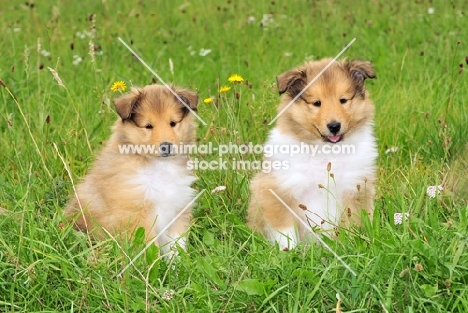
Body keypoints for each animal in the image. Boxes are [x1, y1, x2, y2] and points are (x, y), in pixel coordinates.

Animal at [65, 83, 197, 254]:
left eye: (173, 123)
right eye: (148, 126)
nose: (166, 146)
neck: (159, 165)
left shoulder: (178, 208)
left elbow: (176, 245)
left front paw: (178, 261)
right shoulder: (136, 215)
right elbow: (148, 247)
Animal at [249, 58, 376, 249]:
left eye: (343, 100)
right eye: (317, 103)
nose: (334, 126)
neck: (325, 150)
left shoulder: (355, 189)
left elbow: (350, 223)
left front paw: (348, 246)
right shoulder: (277, 189)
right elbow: (285, 230)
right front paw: (289, 252)